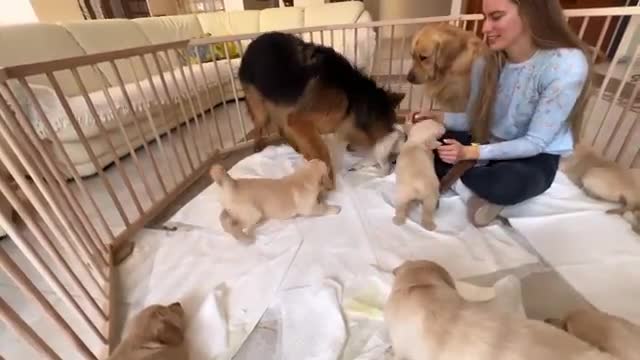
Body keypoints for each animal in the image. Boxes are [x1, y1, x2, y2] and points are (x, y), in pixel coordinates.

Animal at [209, 158, 340, 242]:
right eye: (328, 170)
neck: (304, 177)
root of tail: (232, 184)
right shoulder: (309, 208)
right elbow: (323, 208)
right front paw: (334, 208)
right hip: (253, 214)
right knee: (234, 226)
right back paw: (244, 238)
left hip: (231, 210)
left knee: (224, 219)